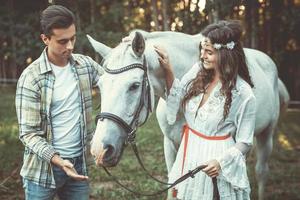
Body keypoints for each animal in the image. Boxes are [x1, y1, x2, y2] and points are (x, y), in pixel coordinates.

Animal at [88, 30, 290, 200]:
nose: (100, 150)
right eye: (100, 86)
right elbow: (173, 184)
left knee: (261, 171)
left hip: (266, 135)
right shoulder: (170, 143)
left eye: (134, 85)